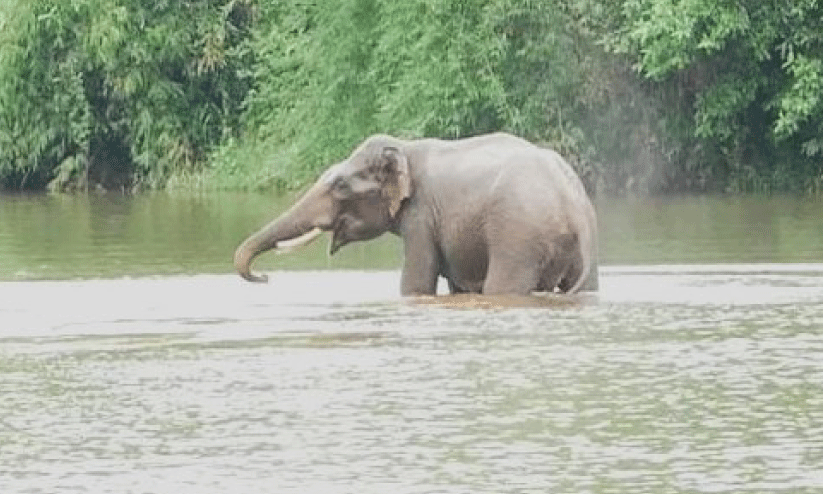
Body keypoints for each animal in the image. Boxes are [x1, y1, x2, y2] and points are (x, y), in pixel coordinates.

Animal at [234, 132, 598, 296]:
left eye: (340, 185)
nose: (265, 277)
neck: (405, 147)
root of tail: (572, 204)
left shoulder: (421, 216)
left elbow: (416, 283)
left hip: (518, 237)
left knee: (502, 286)